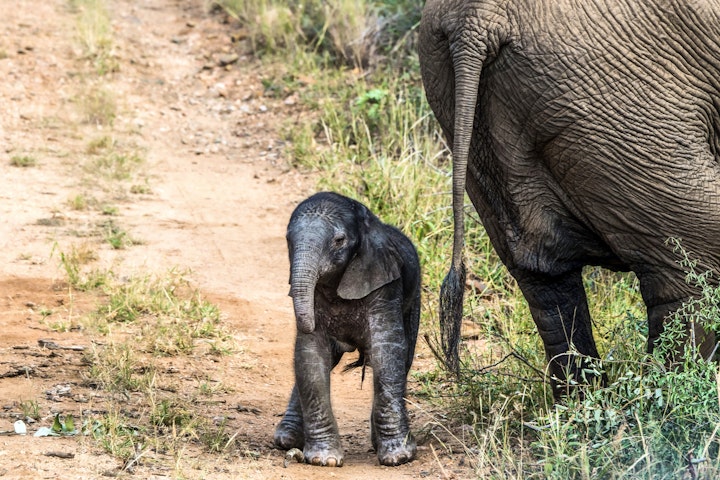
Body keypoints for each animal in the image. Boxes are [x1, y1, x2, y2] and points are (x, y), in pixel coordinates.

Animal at [276, 190, 422, 464]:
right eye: (288, 240)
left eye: (339, 241)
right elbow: (310, 355)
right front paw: (324, 460)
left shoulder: (385, 284)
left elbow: (387, 350)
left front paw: (398, 457)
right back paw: (286, 439)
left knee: (404, 356)